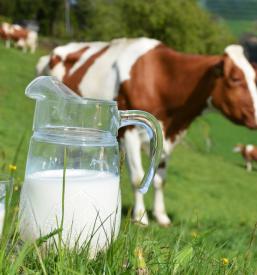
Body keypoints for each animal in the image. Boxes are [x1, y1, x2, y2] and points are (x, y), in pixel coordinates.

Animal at [36, 38, 257, 226]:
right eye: (235, 78)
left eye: (255, 78)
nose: (256, 117)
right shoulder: (131, 133)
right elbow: (138, 177)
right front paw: (141, 217)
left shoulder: (167, 138)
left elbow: (160, 179)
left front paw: (161, 216)